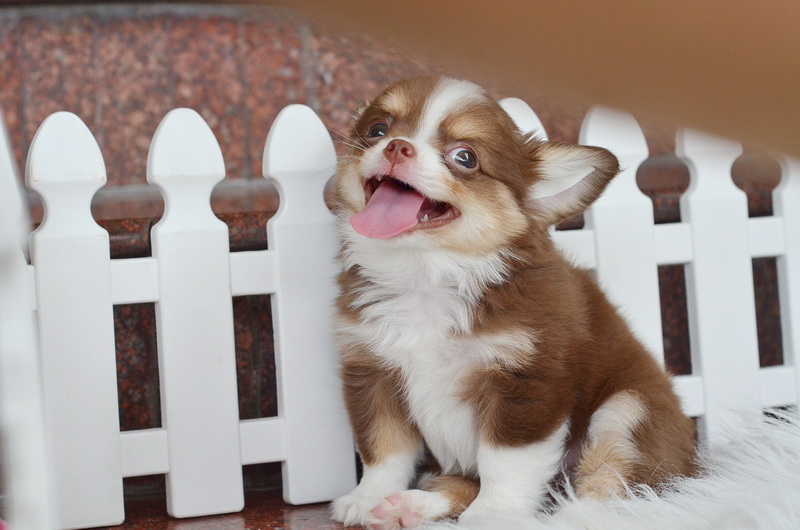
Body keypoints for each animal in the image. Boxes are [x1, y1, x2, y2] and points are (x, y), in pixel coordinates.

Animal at [329, 76, 697, 529]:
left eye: (465, 157)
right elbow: (384, 447)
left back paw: (571, 517)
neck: (427, 277)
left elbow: (505, 460)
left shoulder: (527, 381)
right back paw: (409, 506)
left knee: (615, 485)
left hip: (630, 409)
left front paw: (494, 514)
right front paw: (369, 497)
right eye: (377, 130)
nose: (398, 146)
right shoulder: (373, 371)